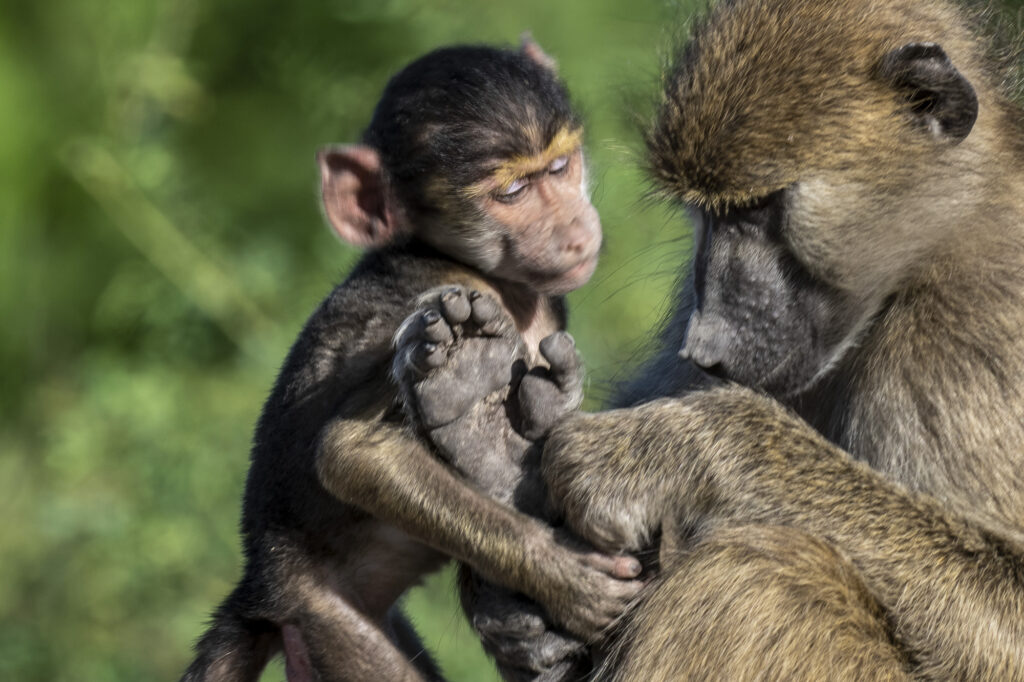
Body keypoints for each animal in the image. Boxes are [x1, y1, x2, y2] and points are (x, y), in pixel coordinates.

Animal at [180, 41, 644, 682]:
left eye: (558, 168)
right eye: (512, 193)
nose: (576, 232)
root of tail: (262, 579)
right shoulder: (422, 313)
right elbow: (350, 454)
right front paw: (561, 574)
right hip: (322, 616)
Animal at [405, 0, 1024, 679]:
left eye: (757, 207)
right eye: (707, 214)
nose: (703, 347)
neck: (939, 245)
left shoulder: (970, 338)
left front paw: (670, 451)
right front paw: (517, 594)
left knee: (754, 577)